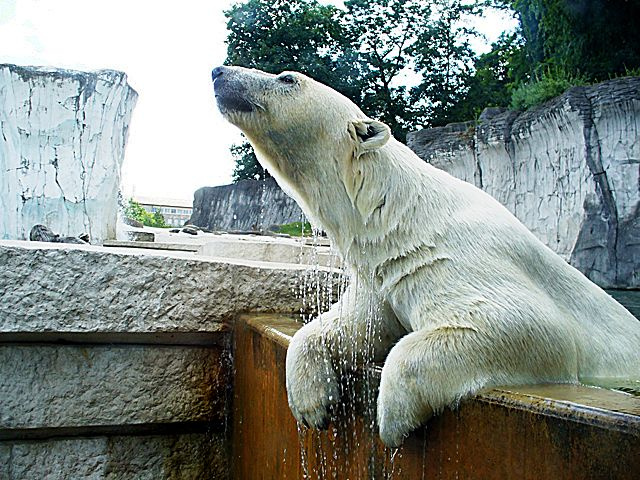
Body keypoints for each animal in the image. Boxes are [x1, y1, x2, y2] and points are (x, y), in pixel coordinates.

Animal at [214, 65, 640, 448]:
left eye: (287, 79)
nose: (219, 72)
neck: (396, 212)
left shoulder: (453, 255)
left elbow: (529, 326)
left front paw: (393, 421)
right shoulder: (380, 272)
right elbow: (357, 325)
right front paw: (312, 405)